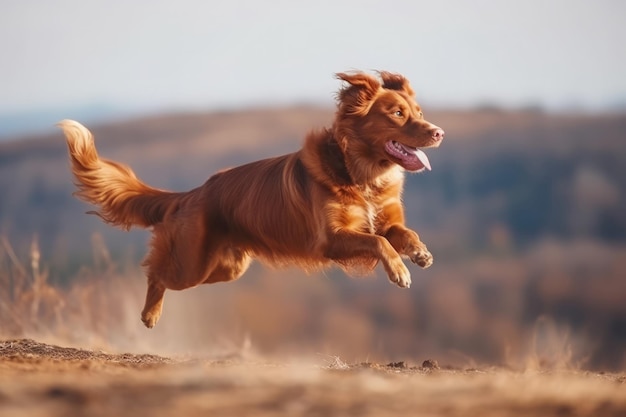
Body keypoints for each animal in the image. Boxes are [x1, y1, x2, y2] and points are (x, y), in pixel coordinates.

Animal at [57, 70, 438, 326]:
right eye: (397, 114)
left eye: (419, 112)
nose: (439, 132)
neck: (363, 176)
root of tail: (193, 193)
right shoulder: (330, 239)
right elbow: (378, 243)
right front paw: (399, 271)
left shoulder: (384, 220)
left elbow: (400, 233)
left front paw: (419, 252)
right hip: (191, 265)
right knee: (156, 272)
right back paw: (150, 313)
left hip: (226, 267)